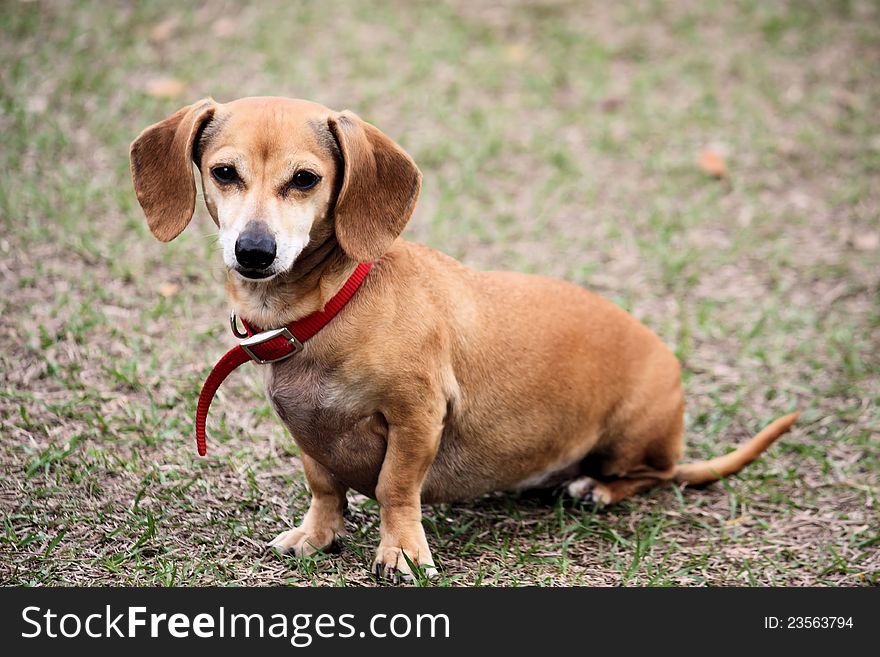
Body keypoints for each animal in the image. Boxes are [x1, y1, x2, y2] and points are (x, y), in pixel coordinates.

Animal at [131, 97, 796, 580]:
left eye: (304, 179)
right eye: (224, 173)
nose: (254, 252)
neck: (328, 310)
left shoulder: (417, 417)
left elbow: (396, 488)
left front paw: (401, 553)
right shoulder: (307, 433)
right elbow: (324, 487)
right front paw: (318, 536)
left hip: (633, 438)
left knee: (651, 475)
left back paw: (597, 488)